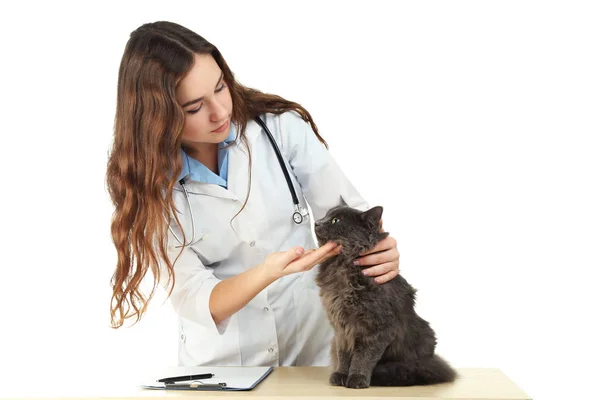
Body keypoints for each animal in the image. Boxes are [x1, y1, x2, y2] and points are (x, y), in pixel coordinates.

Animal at [312, 202, 458, 390]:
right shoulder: (341, 328)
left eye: (336, 221)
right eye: (325, 215)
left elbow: (363, 357)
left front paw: (357, 379)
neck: (341, 267)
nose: (316, 222)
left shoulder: (378, 328)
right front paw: (341, 376)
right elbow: (344, 355)